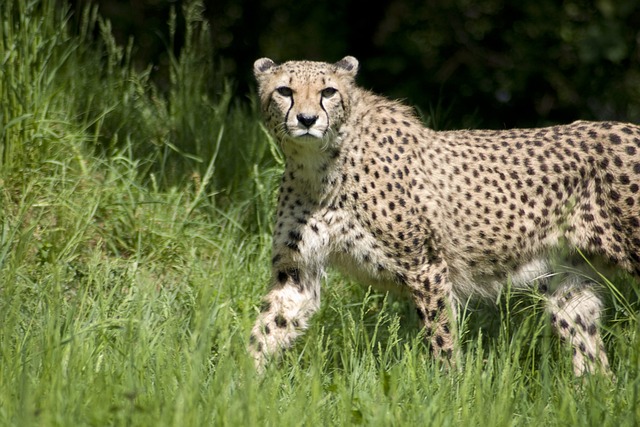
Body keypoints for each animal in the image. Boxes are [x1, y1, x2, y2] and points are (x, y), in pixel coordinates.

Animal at [250, 55, 640, 376]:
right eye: (285, 90)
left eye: (328, 91)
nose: (307, 119)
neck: (318, 165)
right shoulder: (296, 273)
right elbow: (267, 328)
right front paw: (243, 383)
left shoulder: (427, 267)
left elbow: (441, 339)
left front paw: (449, 388)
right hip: (568, 284)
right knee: (591, 355)